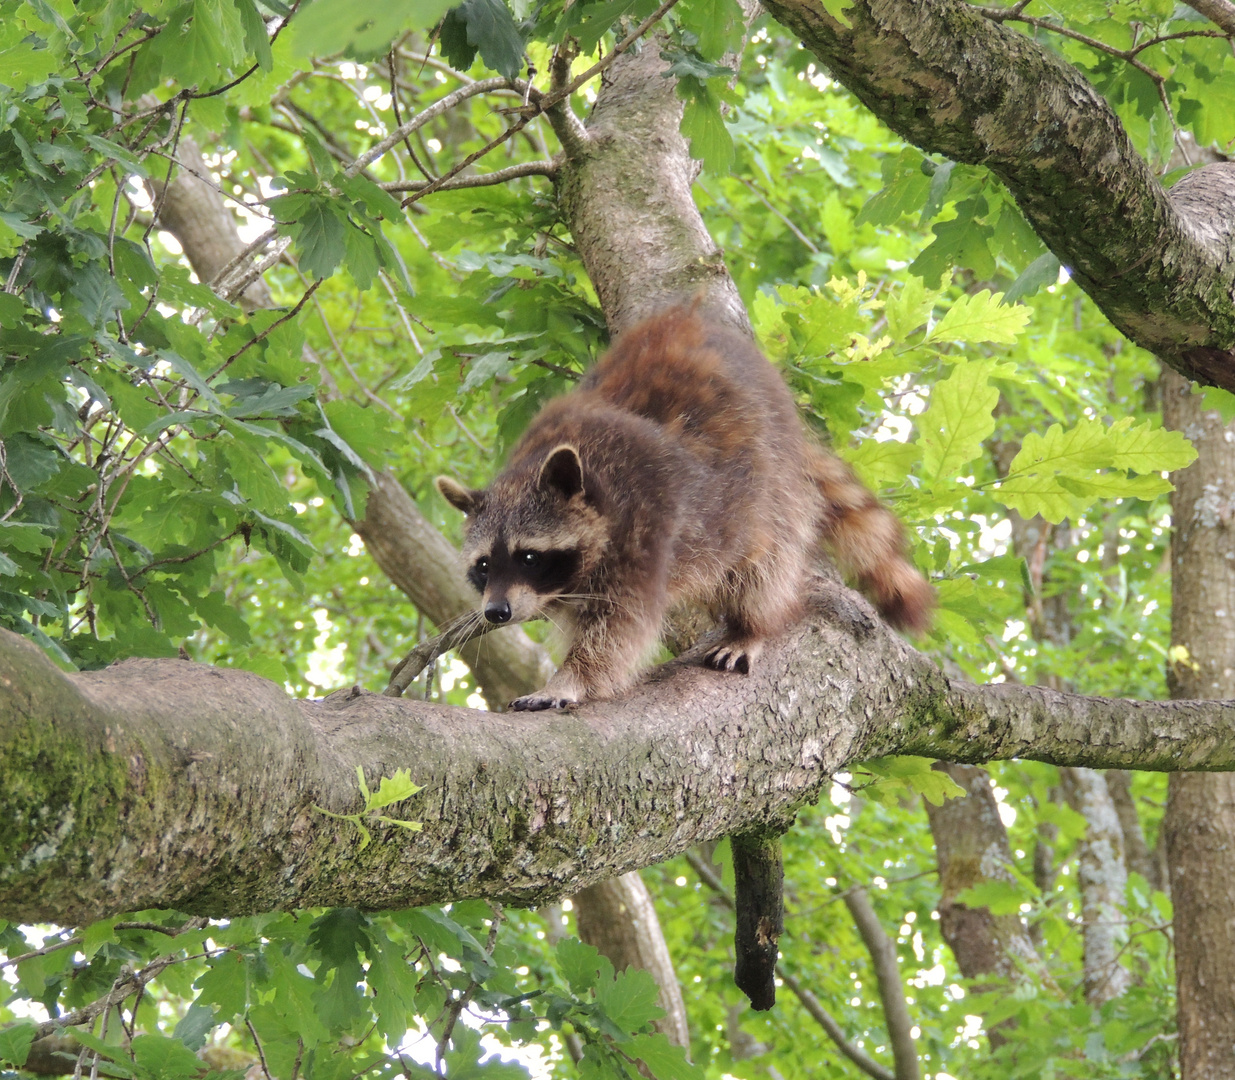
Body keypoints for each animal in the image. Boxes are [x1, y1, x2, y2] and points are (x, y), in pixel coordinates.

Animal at [439, 305, 928, 706]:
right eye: (483, 566)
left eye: (528, 556)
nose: (495, 612)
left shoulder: (642, 527)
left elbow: (619, 628)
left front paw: (572, 678)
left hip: (773, 480)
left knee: (765, 562)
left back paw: (750, 626)